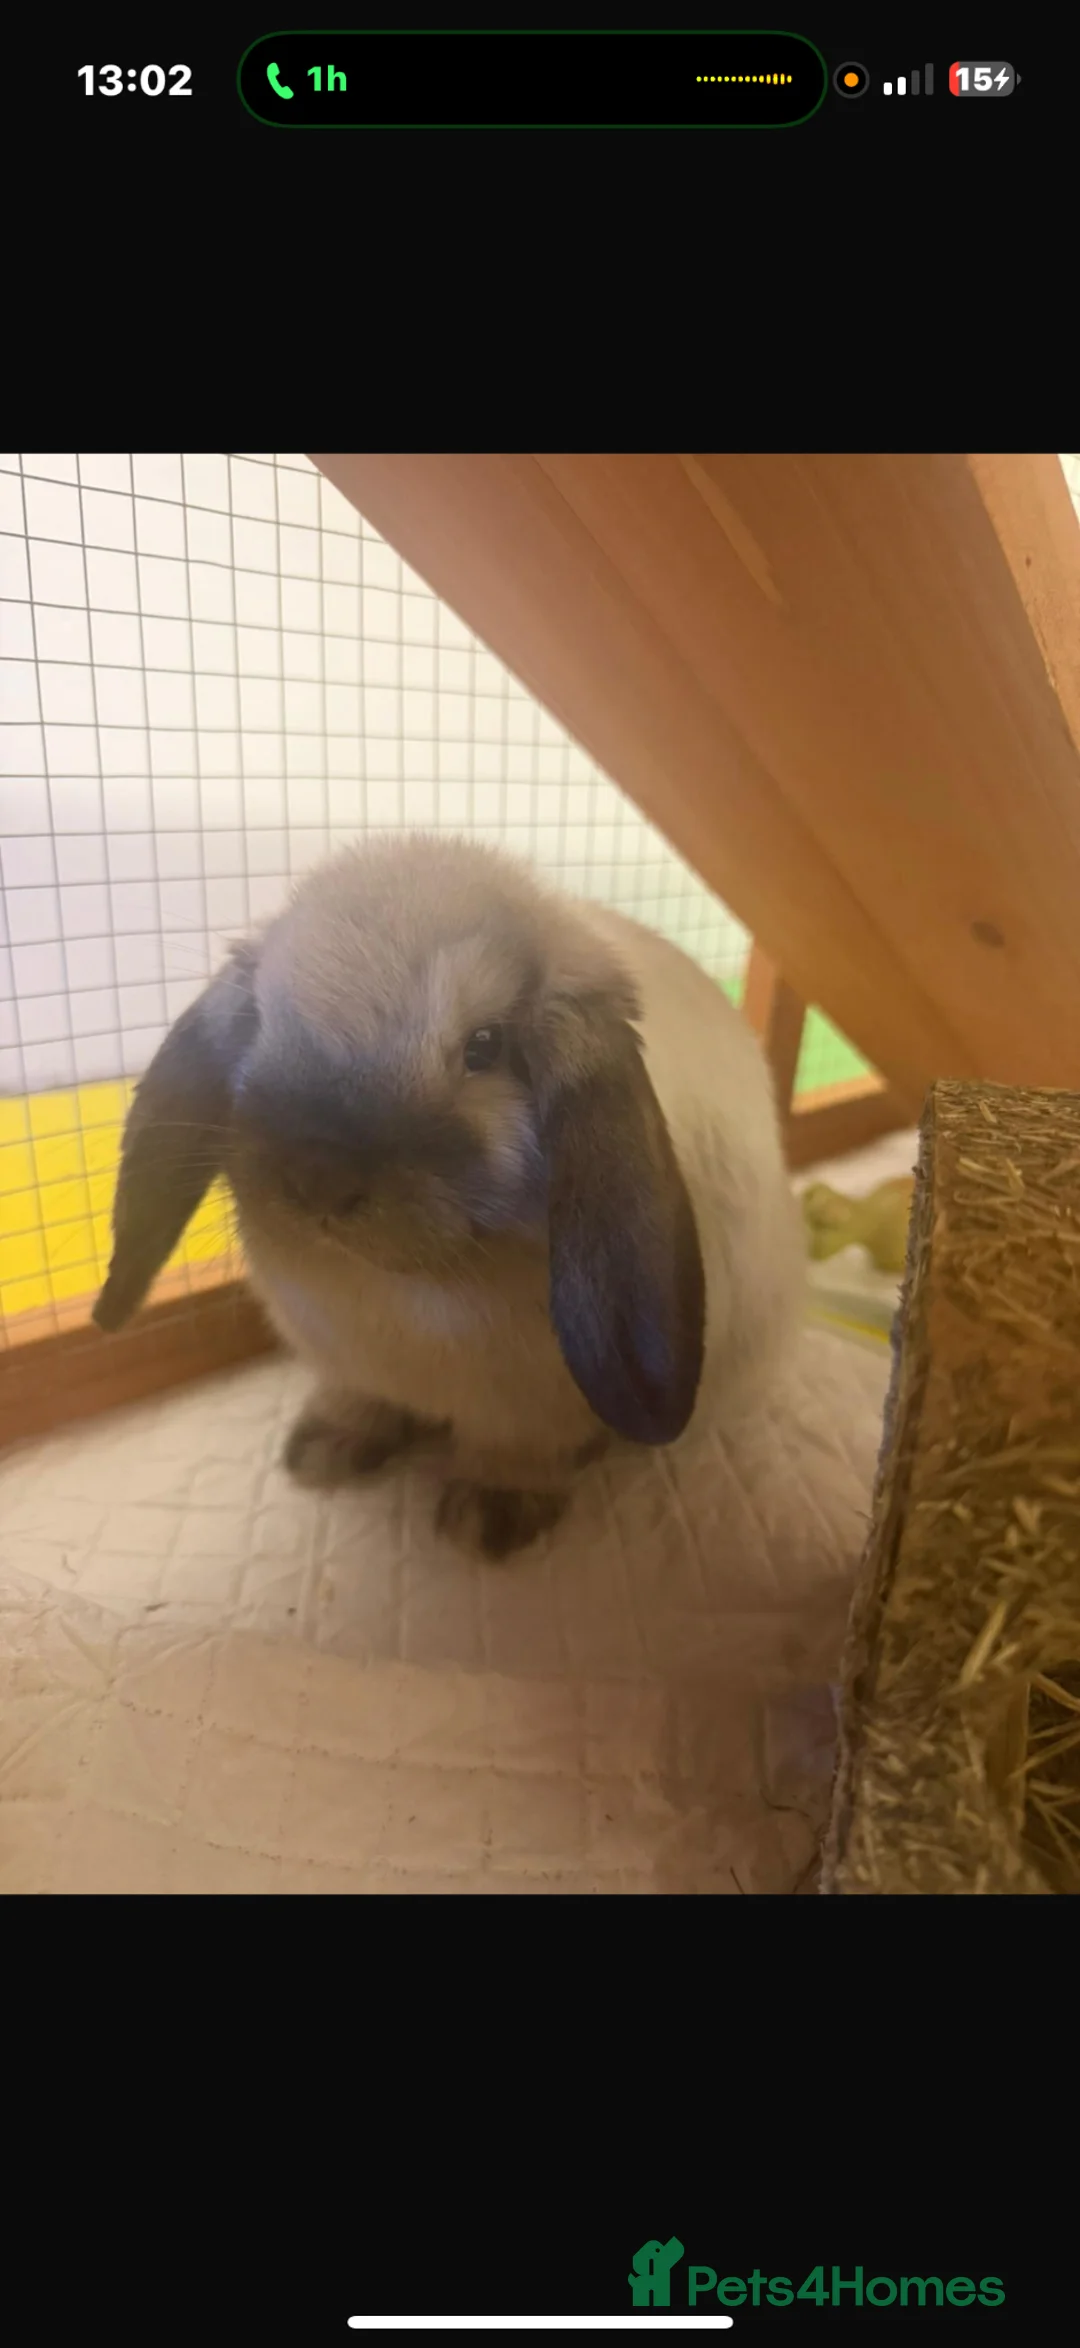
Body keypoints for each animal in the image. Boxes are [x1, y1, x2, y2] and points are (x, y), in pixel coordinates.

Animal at [93, 832, 805, 1558]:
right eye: (259, 1021)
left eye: (485, 1045)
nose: (317, 1177)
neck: (402, 1289)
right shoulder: (348, 1368)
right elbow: (357, 1401)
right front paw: (322, 1451)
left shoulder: (531, 1410)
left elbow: (512, 1452)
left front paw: (489, 1519)